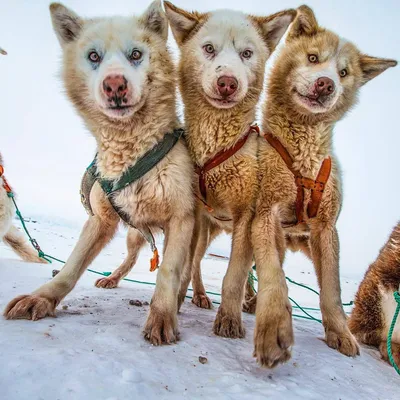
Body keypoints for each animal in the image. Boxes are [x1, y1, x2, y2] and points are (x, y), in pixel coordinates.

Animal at [3, 1, 195, 346]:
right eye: (94, 56)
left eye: (136, 54)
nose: (115, 84)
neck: (131, 153)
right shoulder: (100, 220)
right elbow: (72, 266)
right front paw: (43, 297)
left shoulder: (181, 219)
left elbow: (169, 272)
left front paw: (162, 314)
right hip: (135, 233)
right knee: (131, 258)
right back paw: (113, 278)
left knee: (188, 269)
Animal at [163, 1, 296, 332]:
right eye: (209, 48)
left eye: (246, 53)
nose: (228, 83)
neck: (217, 146)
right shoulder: (195, 216)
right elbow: (185, 266)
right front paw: (173, 305)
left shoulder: (246, 216)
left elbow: (234, 275)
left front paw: (230, 318)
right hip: (206, 230)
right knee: (197, 262)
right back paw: (198, 294)